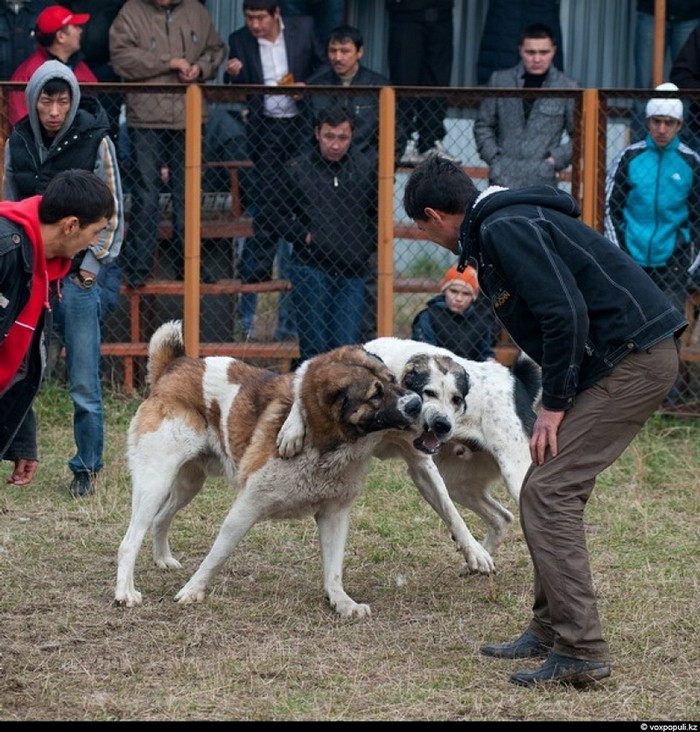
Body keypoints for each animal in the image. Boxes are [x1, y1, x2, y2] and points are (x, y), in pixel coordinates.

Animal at [114, 324, 422, 616]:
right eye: (375, 394)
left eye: (393, 379)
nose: (416, 403)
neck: (323, 446)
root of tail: (174, 366)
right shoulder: (246, 508)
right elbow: (216, 556)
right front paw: (192, 591)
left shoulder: (334, 515)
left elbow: (334, 571)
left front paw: (343, 603)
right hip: (155, 483)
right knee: (130, 540)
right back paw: (125, 593)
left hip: (187, 485)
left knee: (160, 519)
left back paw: (162, 560)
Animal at [276, 338, 540, 572]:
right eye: (428, 392)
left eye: (457, 399)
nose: (443, 425)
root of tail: (517, 380)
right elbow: (302, 385)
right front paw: (291, 431)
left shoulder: (423, 465)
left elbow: (452, 513)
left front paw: (473, 551)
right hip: (459, 483)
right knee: (503, 517)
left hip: (515, 477)